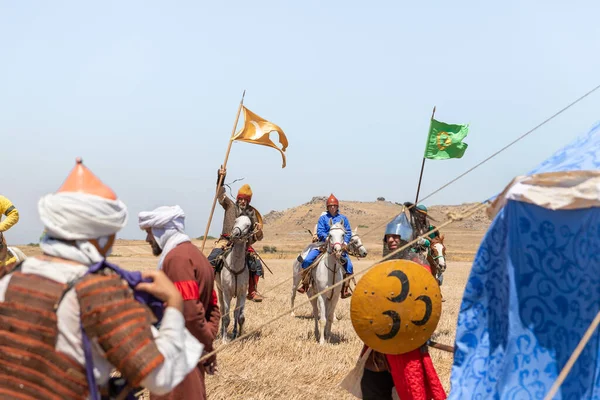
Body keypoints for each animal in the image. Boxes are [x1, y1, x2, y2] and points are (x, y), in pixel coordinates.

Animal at [214, 216, 252, 344]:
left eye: (248, 225)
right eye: (236, 221)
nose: (235, 234)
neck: (235, 266)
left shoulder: (242, 293)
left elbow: (240, 316)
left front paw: (239, 336)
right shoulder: (227, 293)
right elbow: (226, 317)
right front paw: (225, 340)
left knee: (235, 313)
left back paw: (235, 333)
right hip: (219, 290)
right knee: (222, 311)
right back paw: (222, 332)